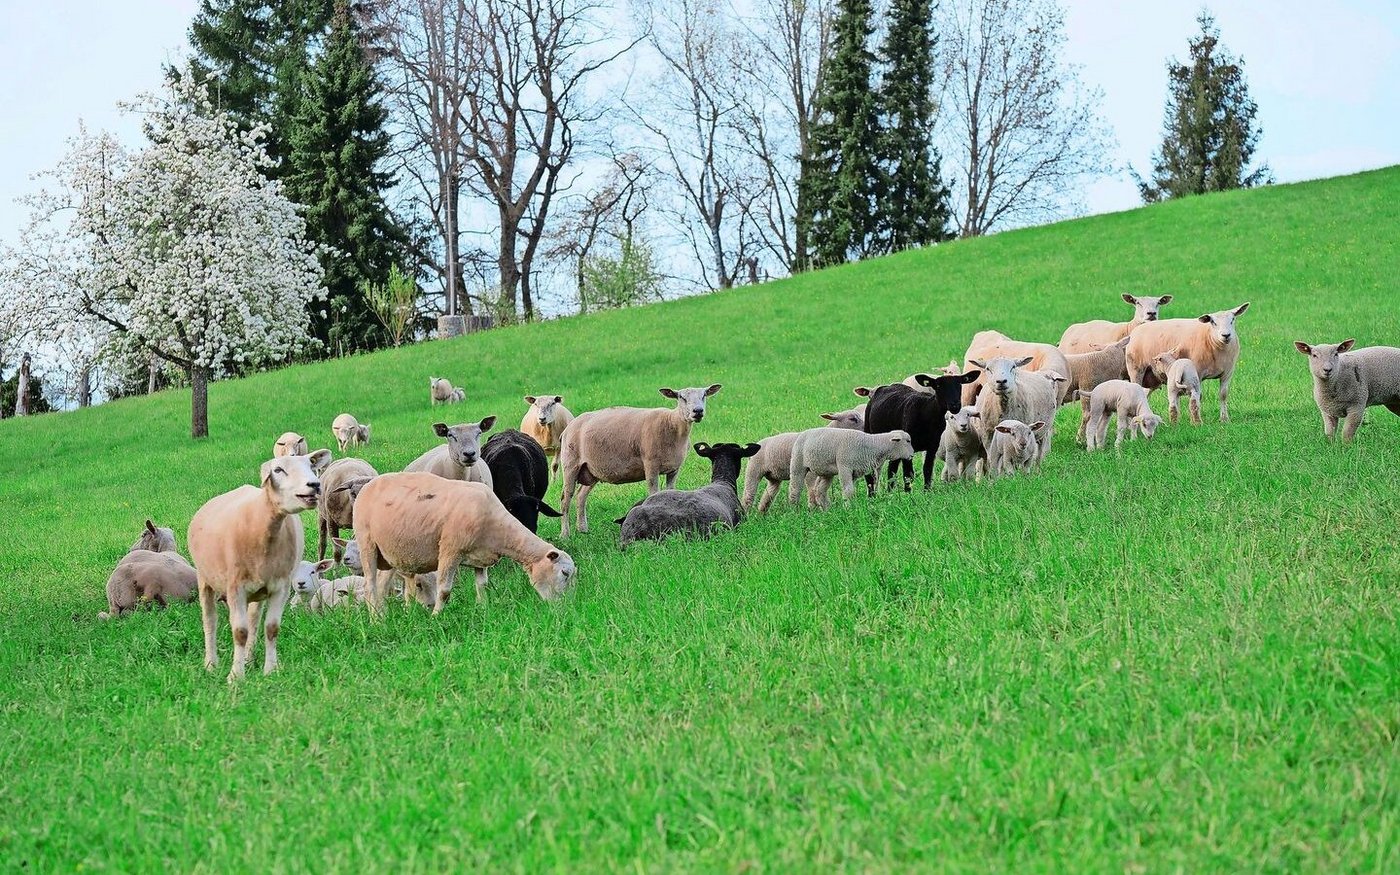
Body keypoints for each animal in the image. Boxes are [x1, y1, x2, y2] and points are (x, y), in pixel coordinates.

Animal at [188, 449, 331, 680]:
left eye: (311, 466)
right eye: (278, 470)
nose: (314, 484)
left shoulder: (280, 587)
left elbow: (271, 628)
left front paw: (270, 670)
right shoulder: (235, 587)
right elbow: (239, 632)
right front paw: (235, 676)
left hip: (258, 590)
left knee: (254, 619)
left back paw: (248, 658)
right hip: (205, 578)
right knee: (209, 620)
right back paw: (210, 664)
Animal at [353, 473, 576, 613]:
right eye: (564, 573)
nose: (564, 607)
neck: (498, 528)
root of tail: (367, 486)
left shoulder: (481, 558)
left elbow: (482, 585)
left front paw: (483, 608)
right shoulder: (450, 550)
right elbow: (444, 590)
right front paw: (437, 617)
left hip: (387, 554)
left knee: (381, 585)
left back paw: (385, 615)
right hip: (367, 543)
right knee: (369, 586)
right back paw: (376, 621)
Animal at [557, 384, 721, 537]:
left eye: (704, 395)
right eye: (681, 397)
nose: (698, 411)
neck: (672, 424)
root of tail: (569, 427)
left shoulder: (674, 469)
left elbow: (670, 491)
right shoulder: (651, 465)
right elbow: (654, 493)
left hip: (592, 470)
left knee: (581, 496)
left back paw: (583, 529)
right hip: (571, 464)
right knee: (566, 499)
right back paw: (565, 534)